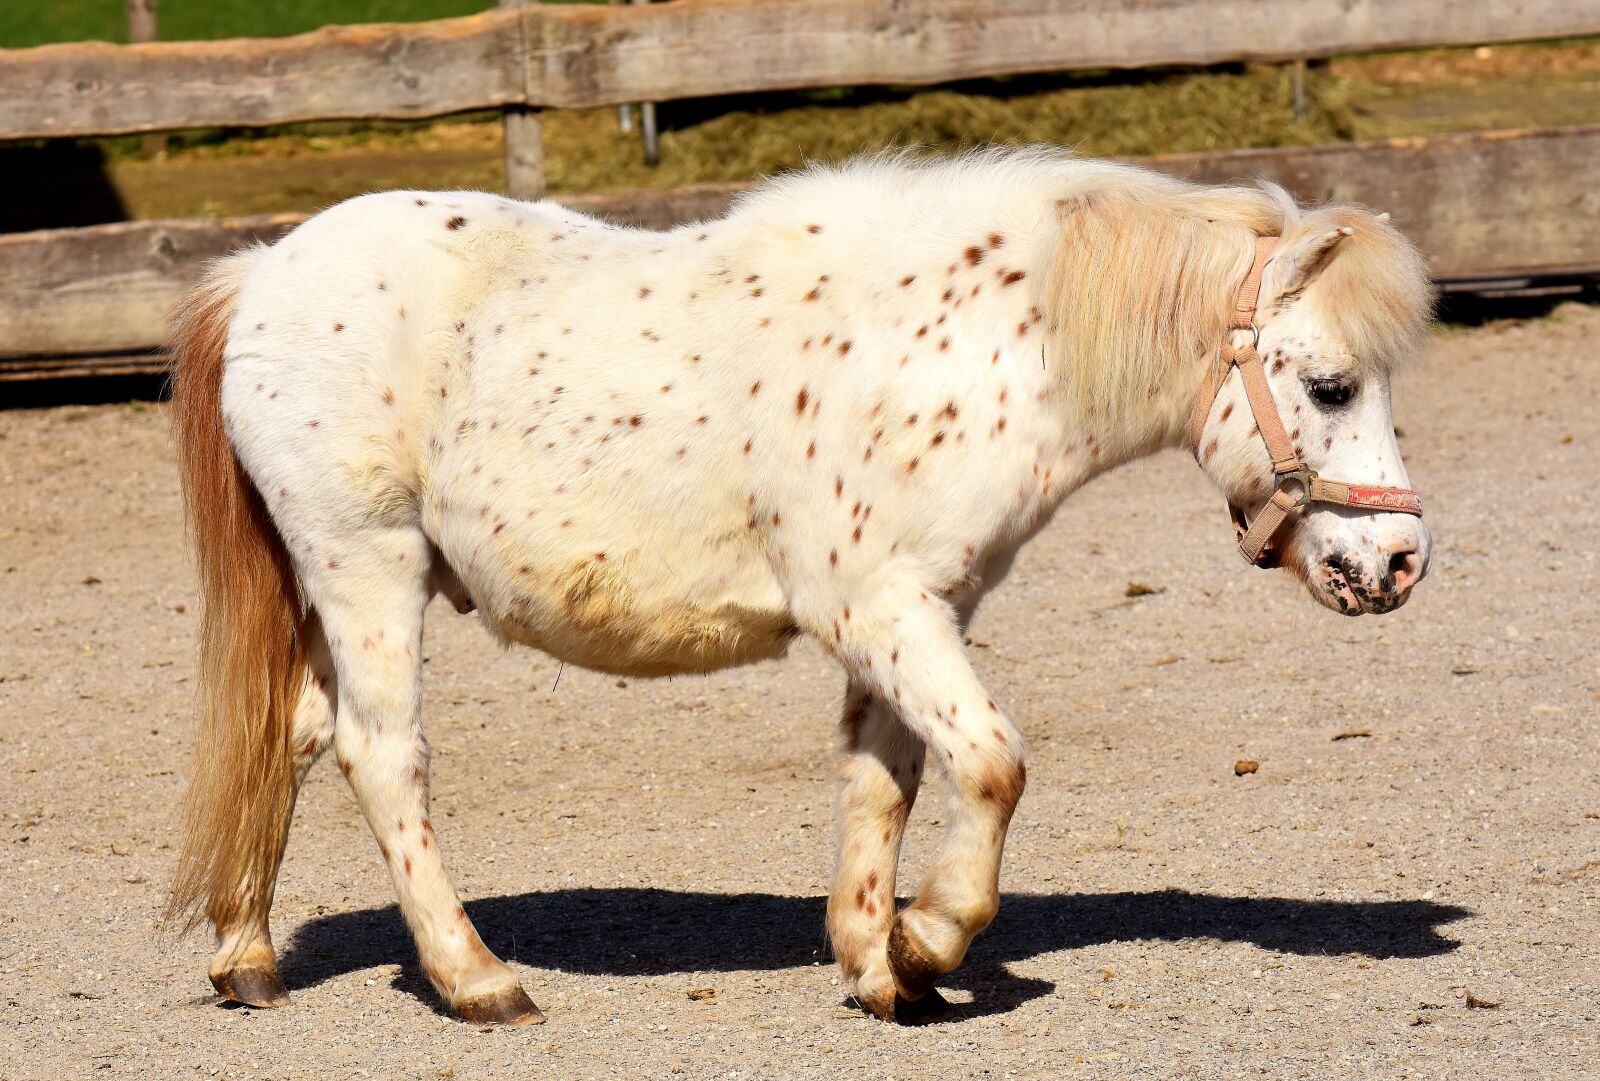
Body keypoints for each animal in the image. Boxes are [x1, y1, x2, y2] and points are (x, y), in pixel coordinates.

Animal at [165, 149, 1433, 1026]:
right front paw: (929, 940)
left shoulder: (918, 612)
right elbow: (993, 761)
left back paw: (247, 959)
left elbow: (888, 780)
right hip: (367, 565)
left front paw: (880, 969)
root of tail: (262, 272)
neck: (954, 346)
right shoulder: (876, 607)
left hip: (334, 588)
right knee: (382, 757)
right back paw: (477, 979)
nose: (1399, 562)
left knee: (292, 736)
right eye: (1329, 385)